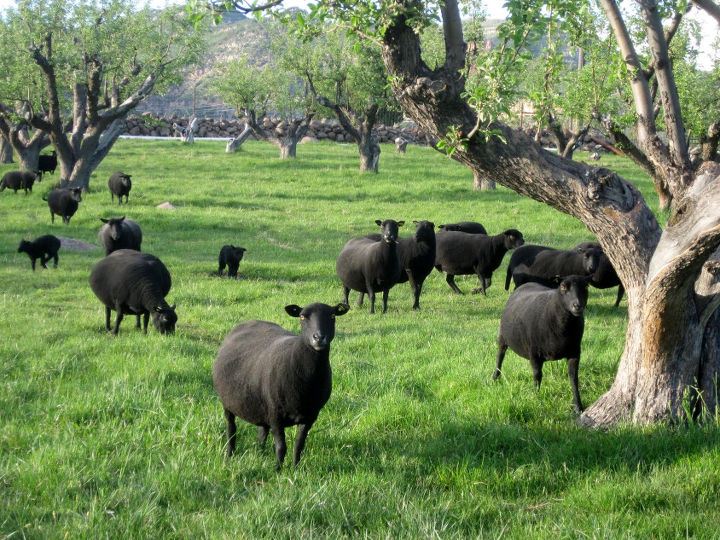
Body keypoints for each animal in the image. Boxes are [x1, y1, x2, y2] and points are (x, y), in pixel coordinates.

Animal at [212, 302, 350, 470]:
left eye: (332, 315)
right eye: (302, 316)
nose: (318, 337)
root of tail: (248, 322)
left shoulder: (310, 416)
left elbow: (299, 445)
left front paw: (296, 469)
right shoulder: (275, 415)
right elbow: (281, 447)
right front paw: (277, 470)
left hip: (261, 405)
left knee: (262, 431)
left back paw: (260, 454)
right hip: (229, 403)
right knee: (231, 429)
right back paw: (230, 454)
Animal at [496, 276, 592, 412]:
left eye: (586, 286)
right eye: (563, 287)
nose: (578, 305)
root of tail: (526, 284)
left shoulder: (575, 352)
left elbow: (574, 379)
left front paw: (578, 406)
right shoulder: (534, 353)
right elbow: (537, 376)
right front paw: (536, 397)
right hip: (503, 336)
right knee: (500, 356)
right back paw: (495, 377)